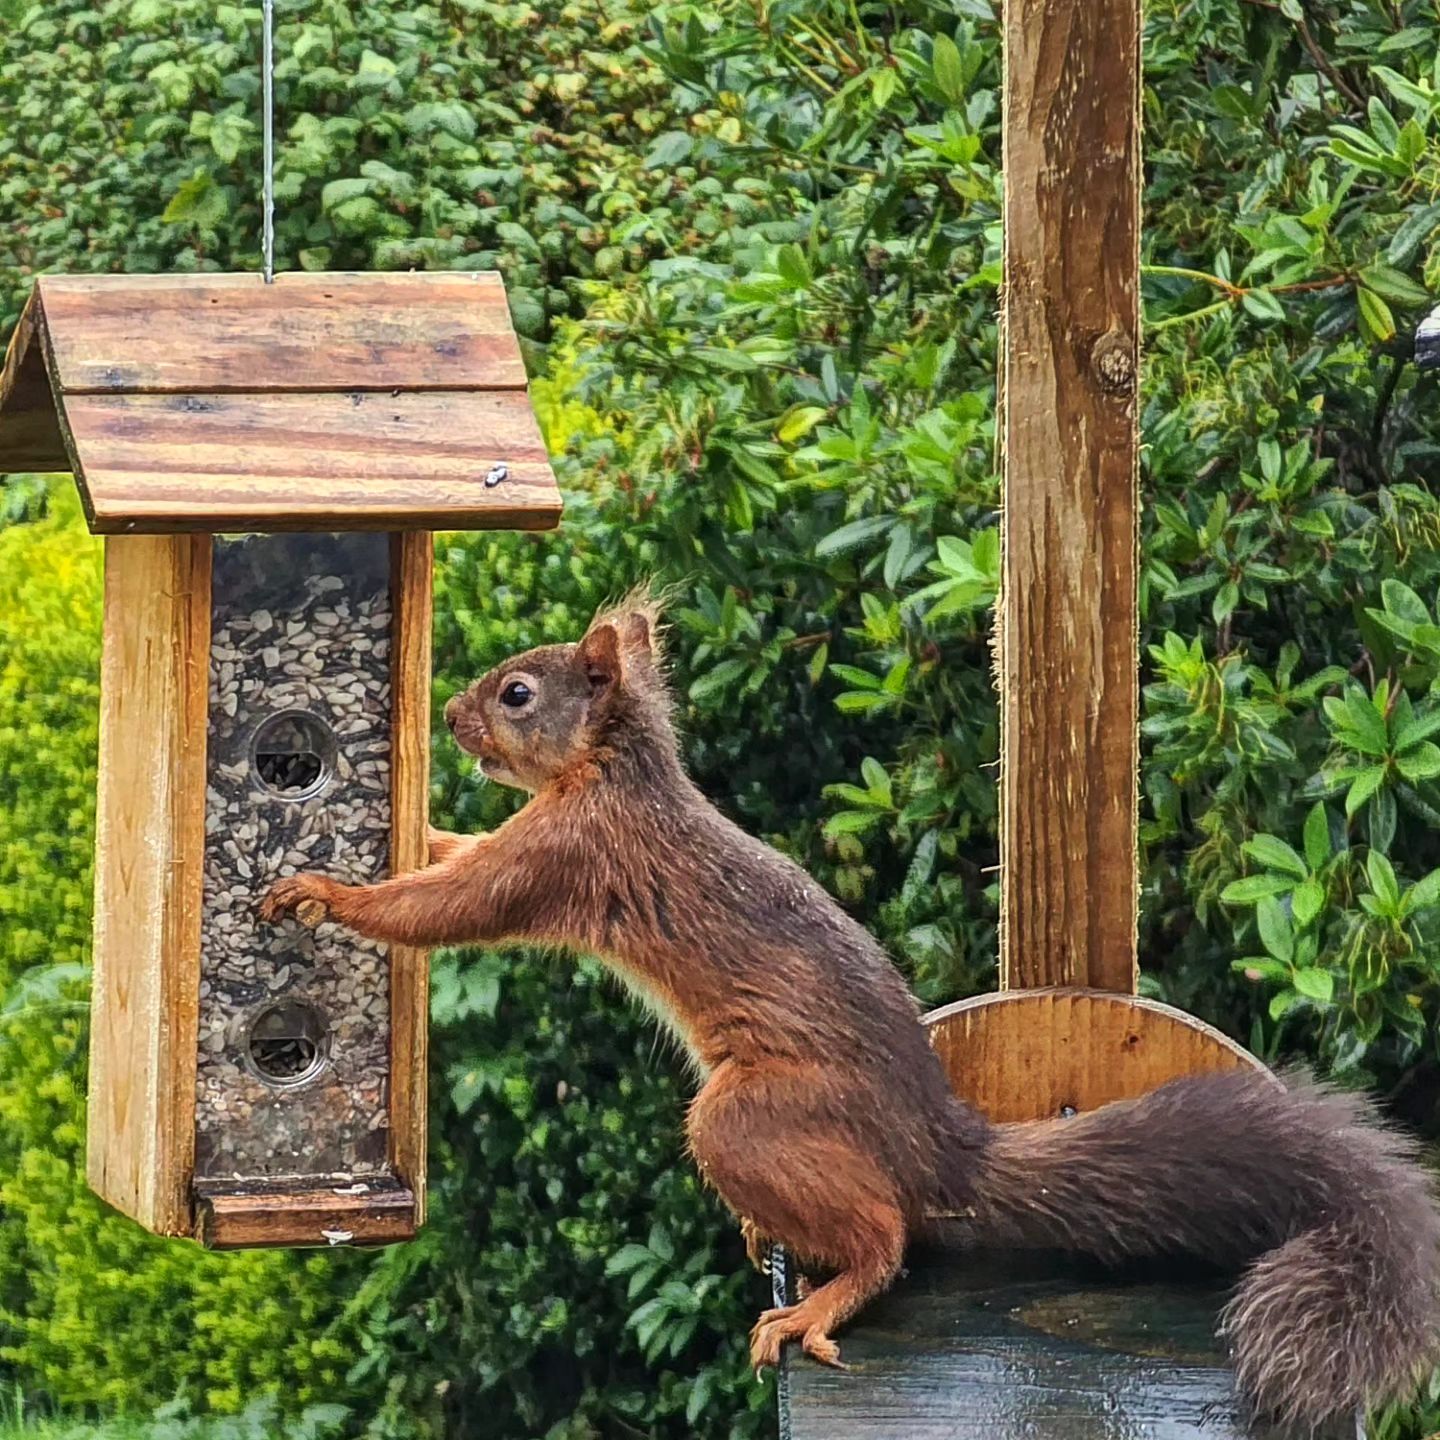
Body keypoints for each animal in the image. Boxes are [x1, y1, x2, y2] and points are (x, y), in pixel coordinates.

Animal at [261, 591, 1440, 1429]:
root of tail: (939, 1147)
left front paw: (328, 895)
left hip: (752, 1115)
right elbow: (462, 857)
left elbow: (457, 903)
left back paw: (820, 1302)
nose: (454, 717)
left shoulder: (574, 852)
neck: (611, 771)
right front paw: (416, 830)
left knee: (886, 1237)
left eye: (517, 694)